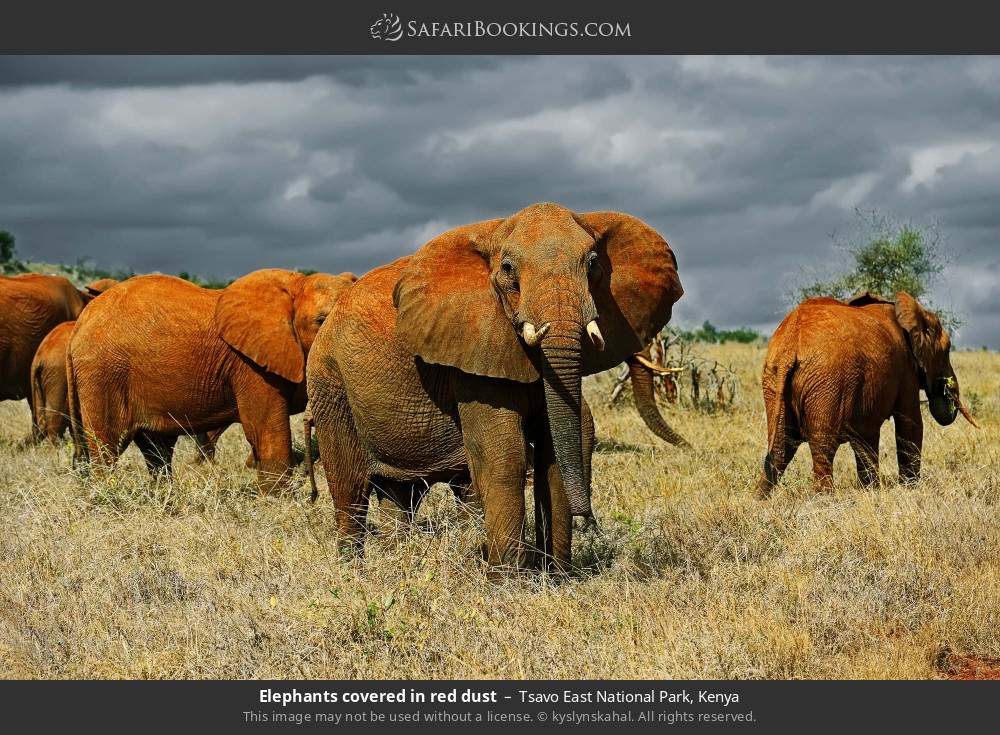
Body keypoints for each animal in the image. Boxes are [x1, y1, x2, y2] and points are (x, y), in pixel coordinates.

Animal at [66, 268, 358, 488]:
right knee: (107, 448)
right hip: (103, 374)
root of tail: (79, 325)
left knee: (157, 451)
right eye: (320, 321)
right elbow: (266, 433)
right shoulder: (249, 366)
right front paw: (278, 503)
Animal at [304, 203, 680, 576]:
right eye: (508, 269)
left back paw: (399, 560)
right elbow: (504, 454)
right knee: (350, 488)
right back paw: (353, 569)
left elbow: (554, 450)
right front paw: (508, 579)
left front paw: (557, 576)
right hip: (329, 382)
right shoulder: (471, 349)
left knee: (400, 493)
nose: (589, 520)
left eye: (592, 264)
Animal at [756, 290, 976, 498]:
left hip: (774, 380)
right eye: (947, 351)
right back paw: (825, 498)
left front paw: (871, 490)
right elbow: (910, 423)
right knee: (822, 445)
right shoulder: (906, 370)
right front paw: (910, 489)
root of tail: (790, 345)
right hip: (827, 382)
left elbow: (867, 435)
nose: (945, 387)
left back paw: (761, 499)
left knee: (781, 446)